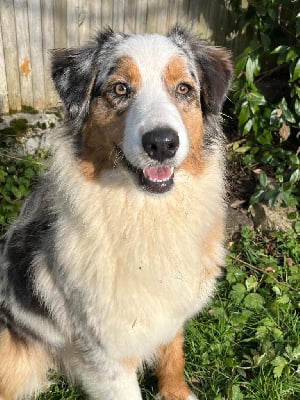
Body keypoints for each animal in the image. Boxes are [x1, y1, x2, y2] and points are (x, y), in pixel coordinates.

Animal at [0, 26, 232, 398]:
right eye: (120, 88)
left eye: (184, 88)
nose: (162, 143)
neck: (145, 214)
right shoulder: (106, 354)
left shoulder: (170, 311)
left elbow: (173, 356)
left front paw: (176, 391)